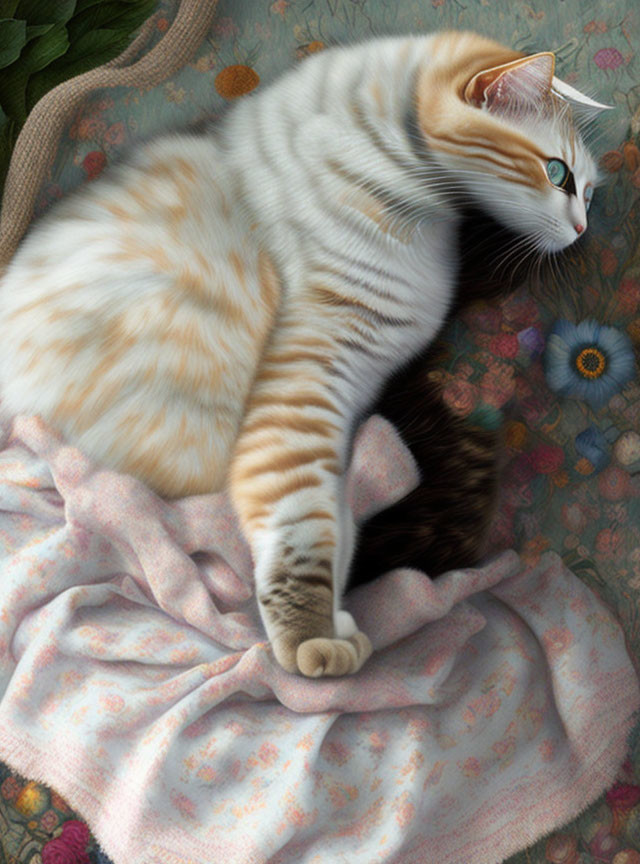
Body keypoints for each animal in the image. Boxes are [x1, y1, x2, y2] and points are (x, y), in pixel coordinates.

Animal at [0, 33, 604, 680]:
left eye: (589, 190)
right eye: (558, 173)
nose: (583, 228)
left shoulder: (352, 400)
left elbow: (337, 520)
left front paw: (336, 618)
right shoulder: (306, 388)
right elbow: (305, 527)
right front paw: (310, 637)